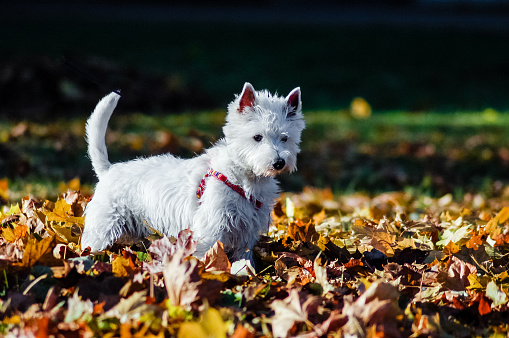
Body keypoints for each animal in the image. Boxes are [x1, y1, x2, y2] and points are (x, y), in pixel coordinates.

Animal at [81, 82, 304, 262]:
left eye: (285, 138)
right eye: (257, 137)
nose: (279, 162)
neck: (243, 178)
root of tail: (109, 170)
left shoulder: (246, 230)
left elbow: (244, 258)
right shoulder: (211, 226)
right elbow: (206, 252)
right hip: (104, 223)